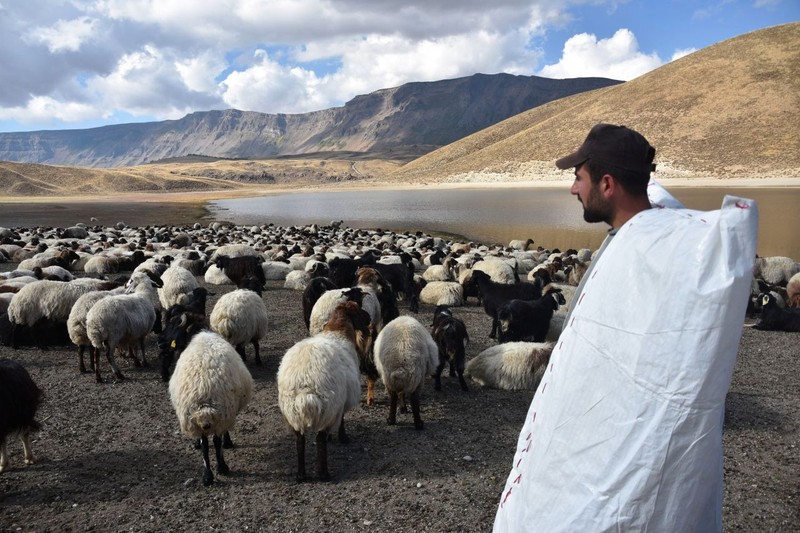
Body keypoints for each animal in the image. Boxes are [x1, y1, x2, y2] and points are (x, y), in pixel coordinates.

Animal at [169, 330, 253, 484]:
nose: (206, 425)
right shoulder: (199, 423)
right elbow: (206, 446)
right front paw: (208, 475)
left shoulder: (217, 418)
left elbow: (214, 442)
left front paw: (220, 466)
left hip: (224, 412)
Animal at [276, 302, 374, 480]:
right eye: (358, 309)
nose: (369, 317)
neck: (338, 331)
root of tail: (304, 386)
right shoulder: (341, 402)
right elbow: (342, 420)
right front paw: (343, 437)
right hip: (329, 406)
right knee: (320, 439)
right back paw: (324, 474)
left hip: (291, 413)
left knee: (299, 441)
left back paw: (301, 475)